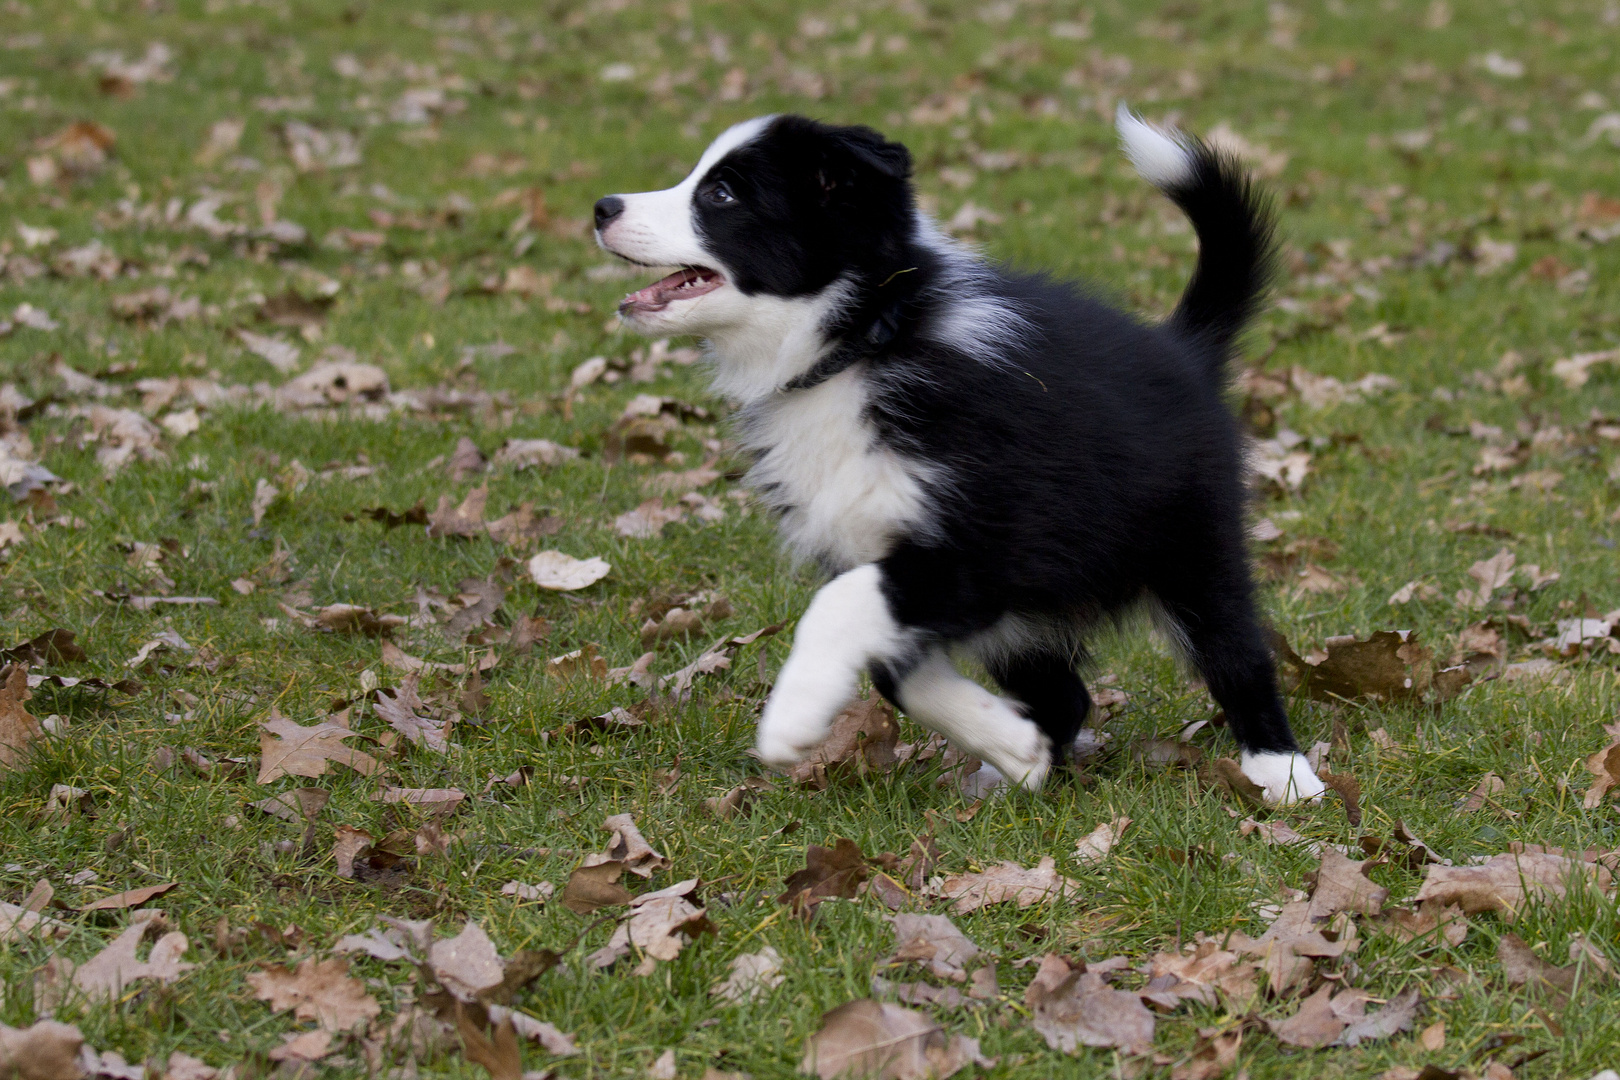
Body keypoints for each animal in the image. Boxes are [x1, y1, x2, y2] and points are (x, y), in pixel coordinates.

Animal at [596, 110, 1328, 806]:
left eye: (720, 193)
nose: (603, 206)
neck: (862, 341)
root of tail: (1184, 351)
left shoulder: (982, 547)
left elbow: (837, 607)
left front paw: (792, 719)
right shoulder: (883, 555)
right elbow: (894, 671)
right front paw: (1013, 746)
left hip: (1192, 547)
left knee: (1237, 655)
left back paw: (1283, 773)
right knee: (1068, 695)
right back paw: (1017, 770)